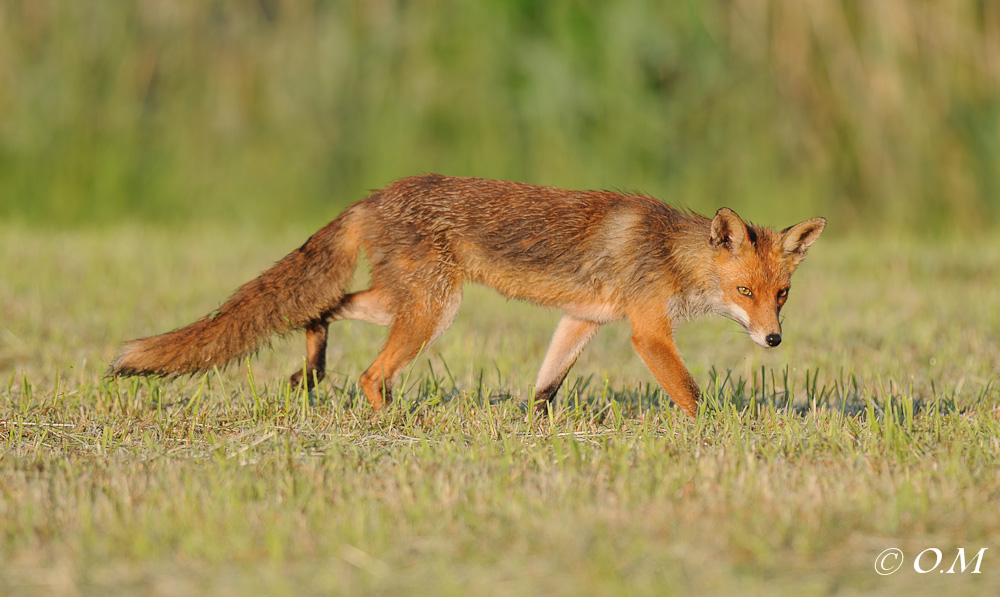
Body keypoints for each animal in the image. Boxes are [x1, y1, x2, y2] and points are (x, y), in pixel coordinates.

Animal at [110, 174, 825, 417]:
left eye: (783, 295)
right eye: (744, 291)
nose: (772, 339)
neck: (672, 255)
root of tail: (376, 194)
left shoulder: (582, 318)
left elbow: (546, 387)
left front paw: (533, 430)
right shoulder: (647, 331)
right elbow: (693, 395)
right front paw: (720, 439)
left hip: (403, 301)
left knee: (321, 308)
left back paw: (311, 369)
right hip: (434, 309)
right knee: (369, 373)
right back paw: (391, 424)